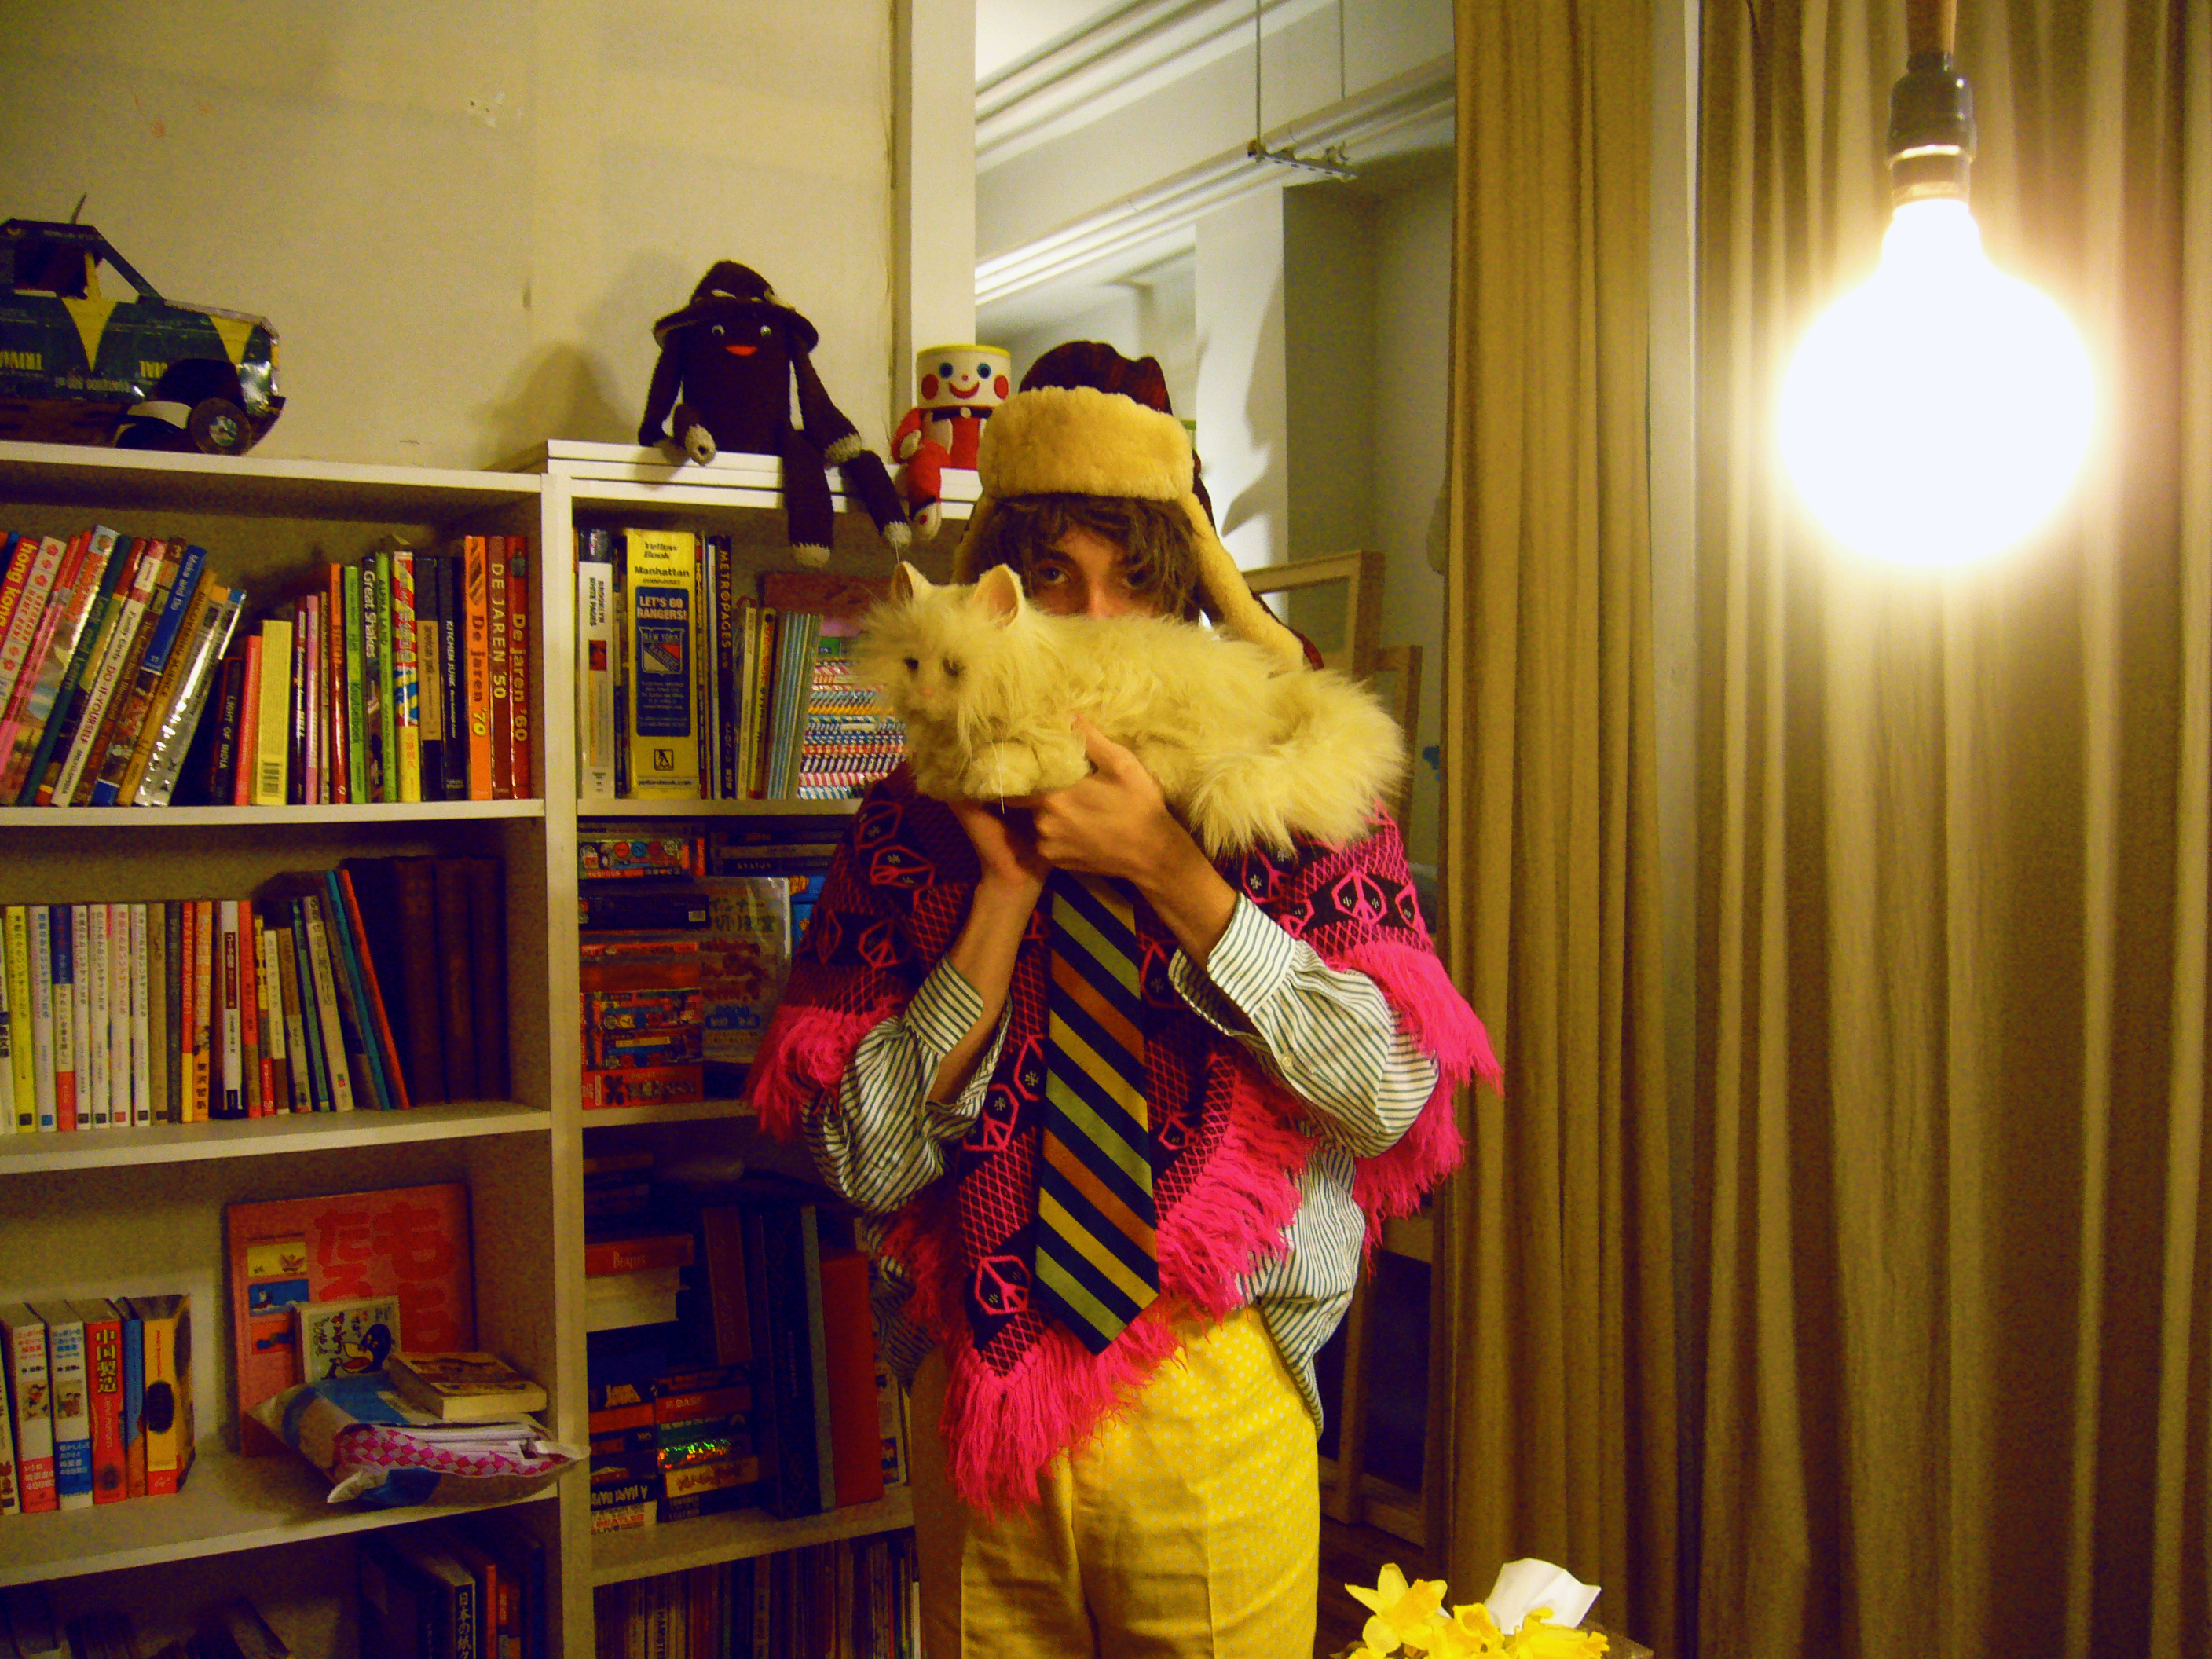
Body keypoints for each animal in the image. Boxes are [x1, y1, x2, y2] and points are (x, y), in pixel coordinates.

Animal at [854, 561, 1408, 855]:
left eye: (954, 668)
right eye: (912, 664)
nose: (925, 695)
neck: (1030, 667)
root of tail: (1278, 691)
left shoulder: (1059, 745)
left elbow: (1009, 758)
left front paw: (985, 779)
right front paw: (938, 777)